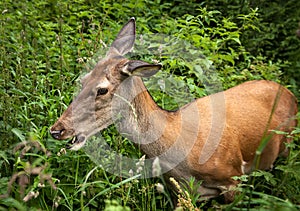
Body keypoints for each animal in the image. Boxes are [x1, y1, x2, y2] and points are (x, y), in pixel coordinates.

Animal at [49, 17, 298, 201]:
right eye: (83, 81)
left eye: (102, 90)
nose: (57, 130)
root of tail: (289, 92)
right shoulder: (182, 191)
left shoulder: (233, 178)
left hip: (287, 146)